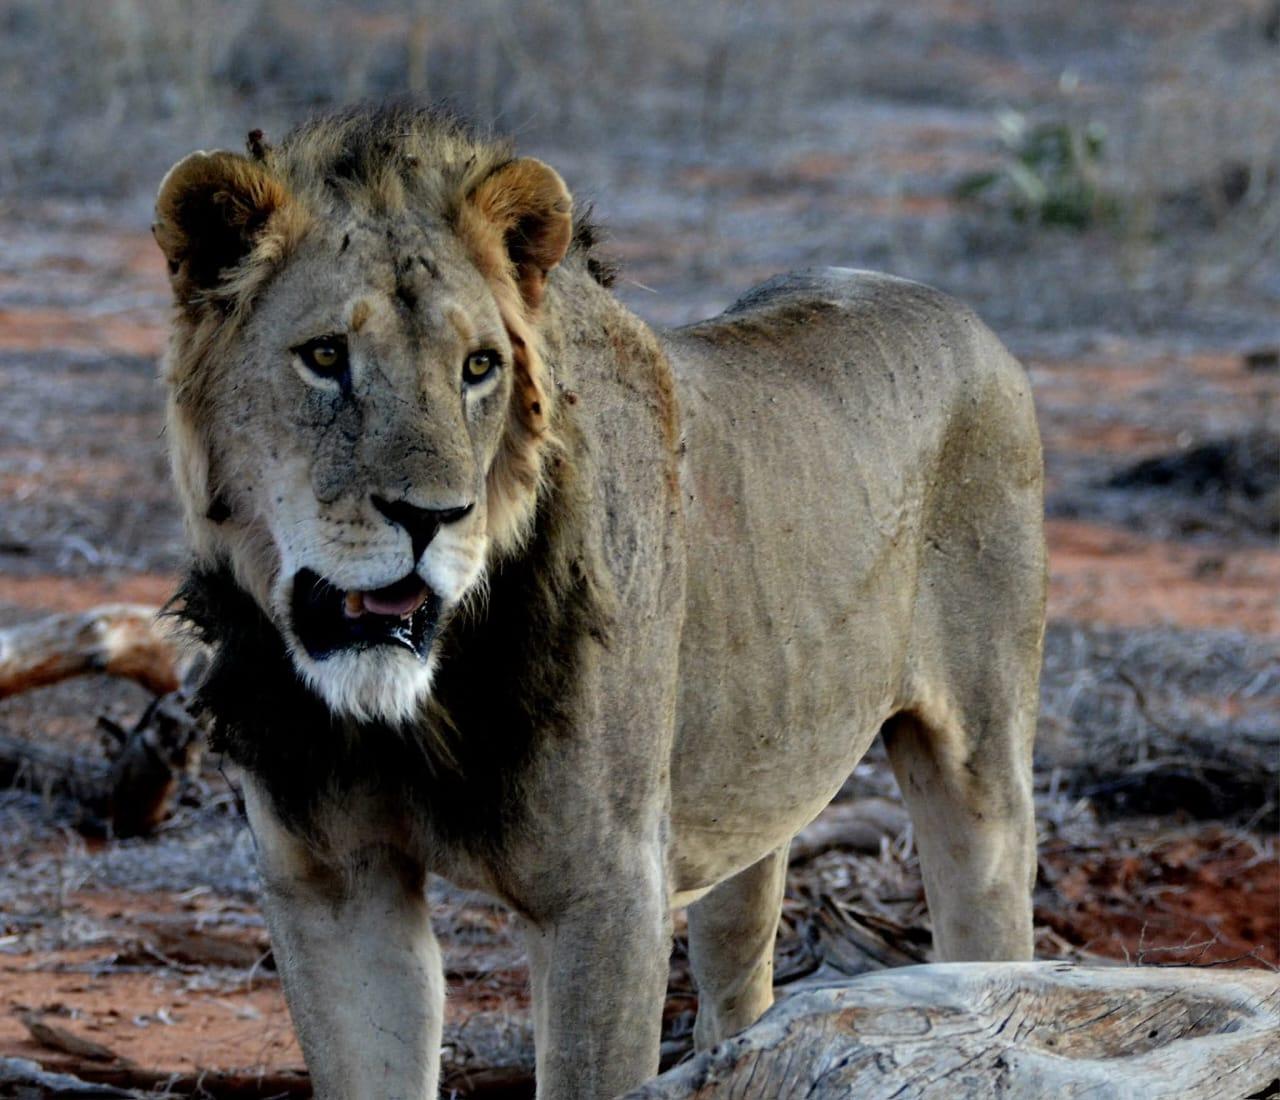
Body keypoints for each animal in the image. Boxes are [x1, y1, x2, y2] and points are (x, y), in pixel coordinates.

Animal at [154, 105, 1045, 1099]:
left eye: (478, 368)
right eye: (323, 357)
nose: (433, 517)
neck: (405, 714)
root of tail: (963, 314)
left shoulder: (608, 893)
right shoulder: (334, 886)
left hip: (979, 768)